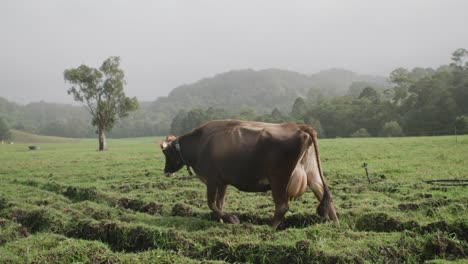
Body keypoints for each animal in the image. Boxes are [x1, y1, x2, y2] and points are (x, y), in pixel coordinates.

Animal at [159, 120, 338, 229]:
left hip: (278, 178)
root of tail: (300, 126)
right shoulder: (222, 182)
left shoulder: (212, 180)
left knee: (282, 205)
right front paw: (221, 221)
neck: (200, 144)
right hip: (312, 175)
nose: (165, 171)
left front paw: (232, 219)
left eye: (166, 153)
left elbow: (211, 203)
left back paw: (269, 228)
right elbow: (219, 203)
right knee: (325, 197)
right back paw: (336, 226)